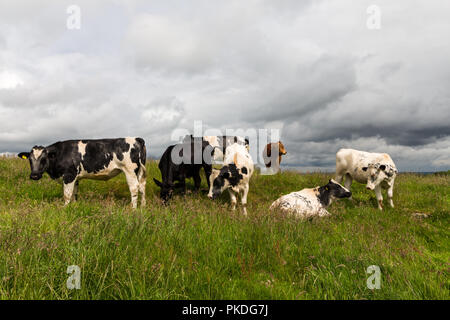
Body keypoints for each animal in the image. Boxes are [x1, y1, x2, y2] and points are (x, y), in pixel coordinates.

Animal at [17, 137, 147, 208]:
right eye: (30, 160)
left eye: (44, 159)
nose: (34, 175)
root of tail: (136, 138)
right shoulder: (75, 177)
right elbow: (74, 193)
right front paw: (73, 206)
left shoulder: (69, 175)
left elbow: (67, 194)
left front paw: (64, 208)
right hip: (139, 171)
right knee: (142, 187)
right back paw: (143, 207)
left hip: (130, 170)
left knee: (134, 188)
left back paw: (133, 209)